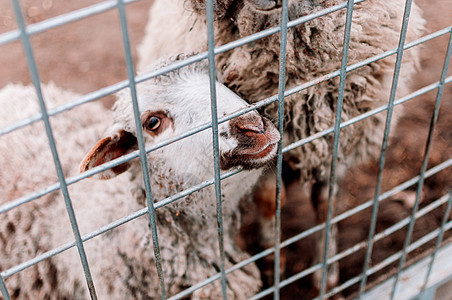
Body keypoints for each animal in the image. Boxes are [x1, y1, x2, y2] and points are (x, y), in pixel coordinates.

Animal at [136, 0, 426, 290]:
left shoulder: (337, 137)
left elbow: (326, 201)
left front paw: (326, 269)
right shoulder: (264, 151)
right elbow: (270, 200)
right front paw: (272, 261)